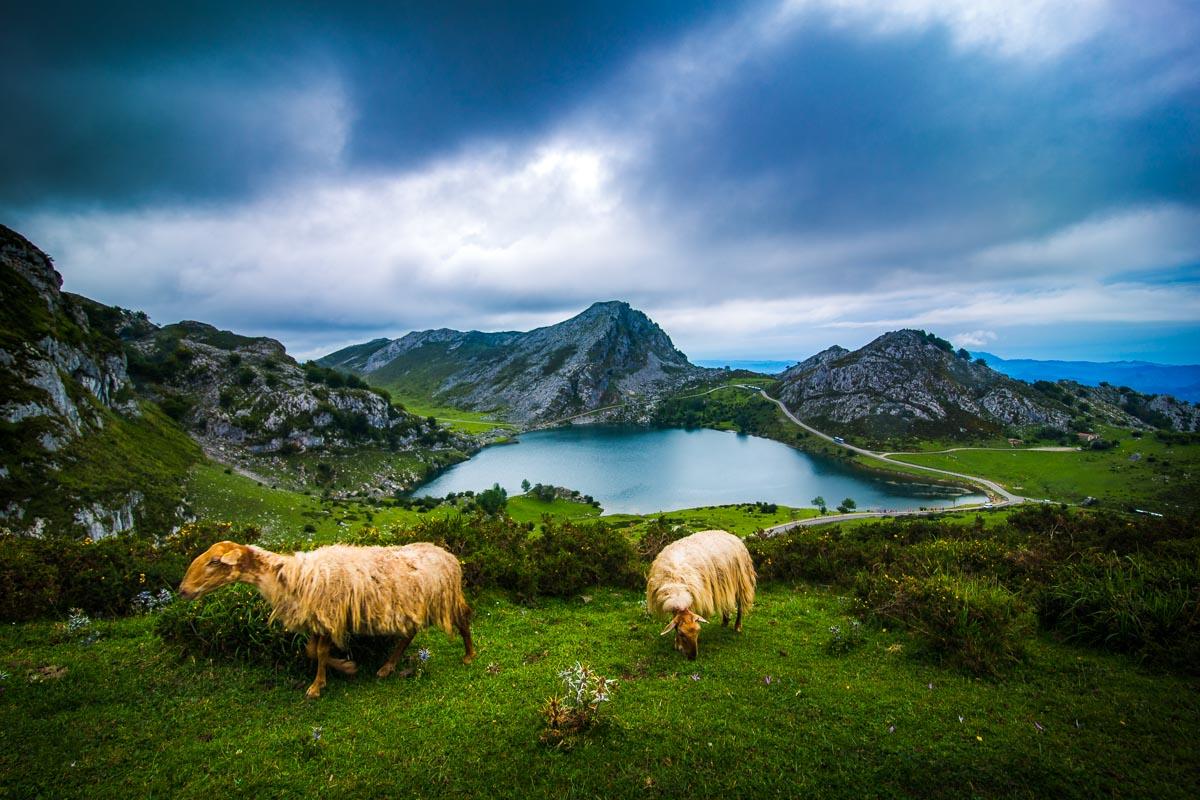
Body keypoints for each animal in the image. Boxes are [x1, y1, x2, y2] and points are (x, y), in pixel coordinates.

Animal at [180, 542, 475, 695]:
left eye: (214, 562)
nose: (183, 590)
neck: (290, 574)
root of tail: (447, 554)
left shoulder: (330, 615)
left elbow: (320, 653)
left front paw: (319, 685)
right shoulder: (317, 618)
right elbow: (311, 651)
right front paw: (345, 667)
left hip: (445, 598)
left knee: (463, 619)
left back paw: (469, 654)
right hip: (410, 604)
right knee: (408, 634)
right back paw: (387, 666)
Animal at [643, 527, 753, 662]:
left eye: (698, 631)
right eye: (681, 633)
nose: (693, 657)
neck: (677, 588)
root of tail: (728, 534)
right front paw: (677, 643)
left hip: (740, 579)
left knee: (740, 605)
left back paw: (737, 626)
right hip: (724, 583)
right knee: (725, 602)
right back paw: (725, 621)